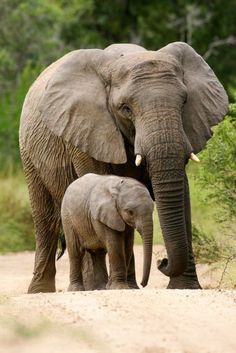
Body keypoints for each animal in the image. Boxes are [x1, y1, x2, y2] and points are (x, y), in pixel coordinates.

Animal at [20, 41, 229, 292]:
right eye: (125, 109)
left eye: (184, 102)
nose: (162, 261)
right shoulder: (86, 131)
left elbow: (183, 196)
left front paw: (184, 288)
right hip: (29, 154)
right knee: (46, 219)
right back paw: (57, 289)